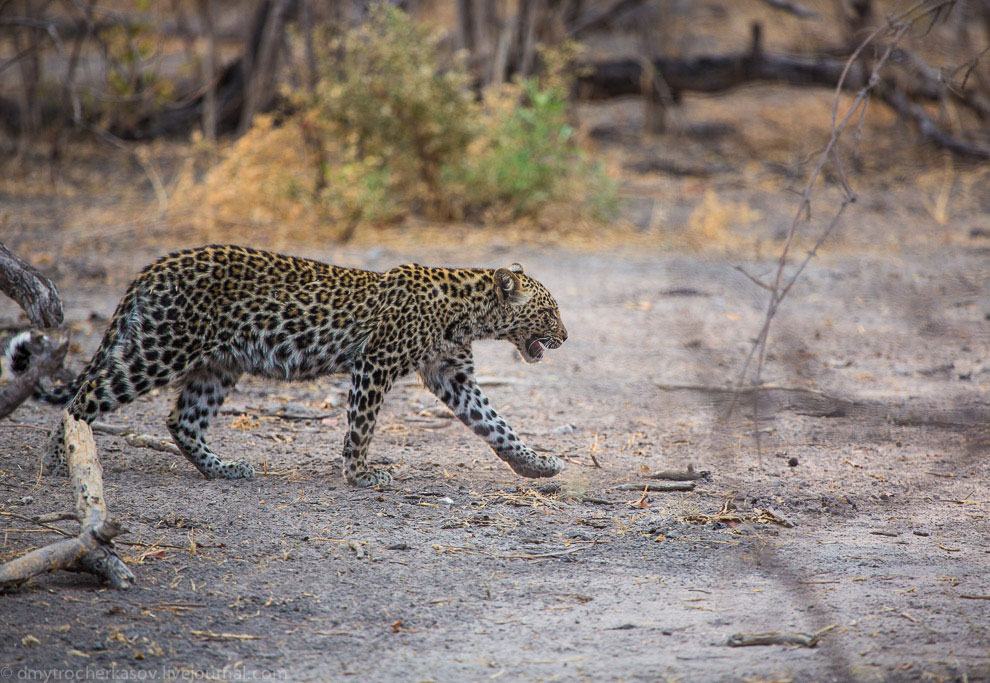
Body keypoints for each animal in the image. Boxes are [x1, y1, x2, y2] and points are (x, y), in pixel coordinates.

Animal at [7, 244, 568, 486]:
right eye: (551, 311)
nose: (564, 338)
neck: (470, 313)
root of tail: (153, 267)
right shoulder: (375, 364)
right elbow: (361, 427)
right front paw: (360, 474)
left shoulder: (452, 376)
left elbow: (497, 424)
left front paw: (535, 464)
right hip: (159, 350)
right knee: (84, 399)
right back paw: (62, 460)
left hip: (218, 364)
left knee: (181, 420)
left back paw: (225, 469)